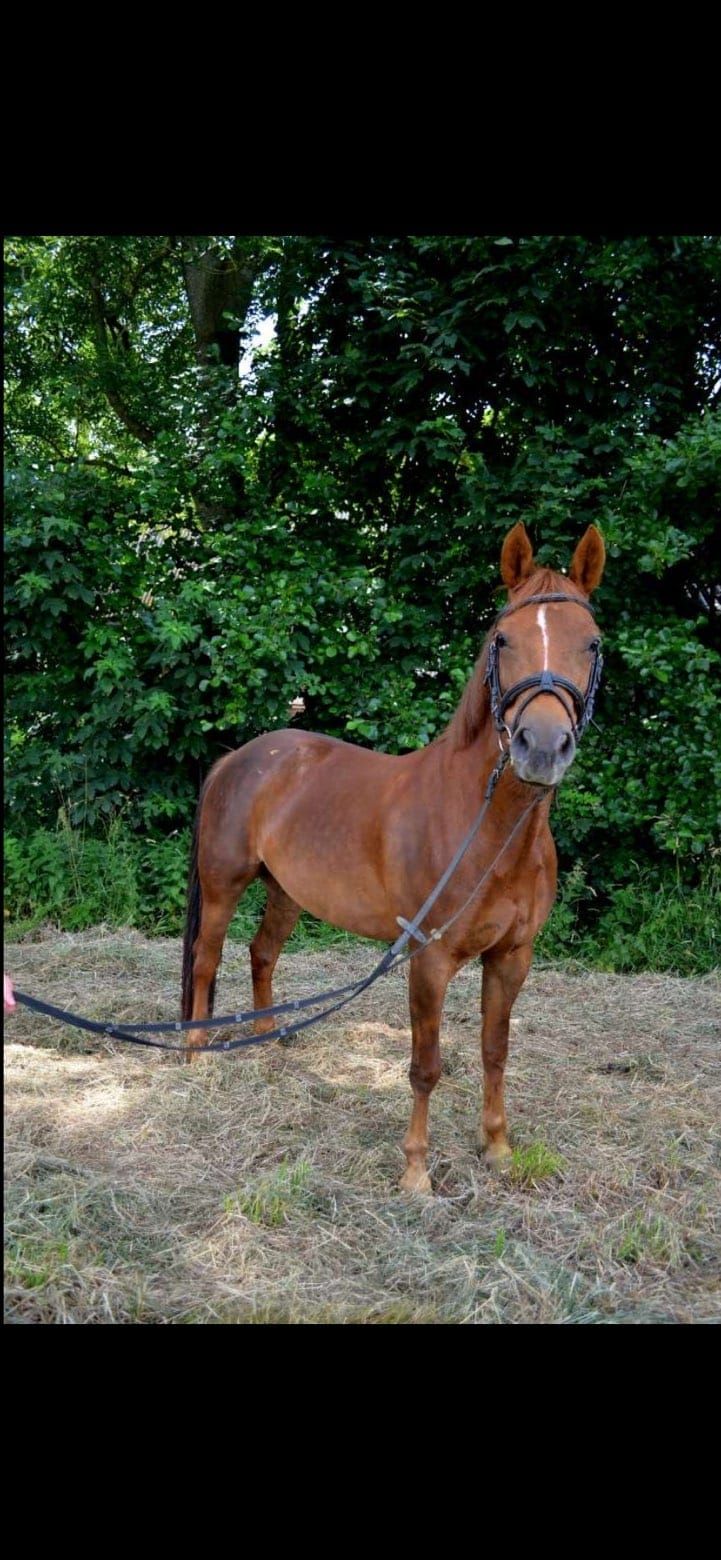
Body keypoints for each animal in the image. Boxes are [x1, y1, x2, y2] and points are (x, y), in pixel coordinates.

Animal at [181, 522, 605, 1194]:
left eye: (590, 643)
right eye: (503, 640)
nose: (541, 747)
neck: (488, 831)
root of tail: (240, 757)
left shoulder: (512, 958)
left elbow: (494, 1050)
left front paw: (497, 1148)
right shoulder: (428, 959)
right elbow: (425, 1065)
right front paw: (416, 1172)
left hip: (287, 891)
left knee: (261, 952)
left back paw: (270, 1040)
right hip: (225, 885)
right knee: (206, 959)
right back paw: (197, 1056)